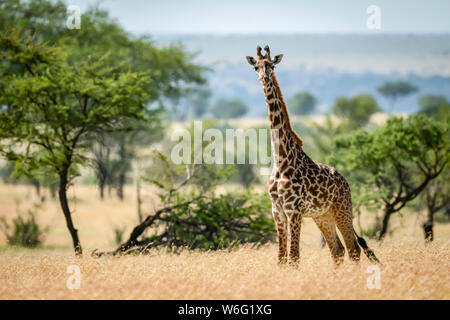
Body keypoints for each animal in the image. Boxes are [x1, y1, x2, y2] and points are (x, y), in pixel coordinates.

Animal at [246, 45, 380, 264]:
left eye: (272, 65)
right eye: (256, 66)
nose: (264, 77)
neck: (280, 159)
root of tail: (346, 182)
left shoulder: (293, 210)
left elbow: (294, 258)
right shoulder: (277, 210)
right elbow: (281, 258)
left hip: (342, 209)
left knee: (353, 249)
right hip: (322, 215)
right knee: (337, 250)